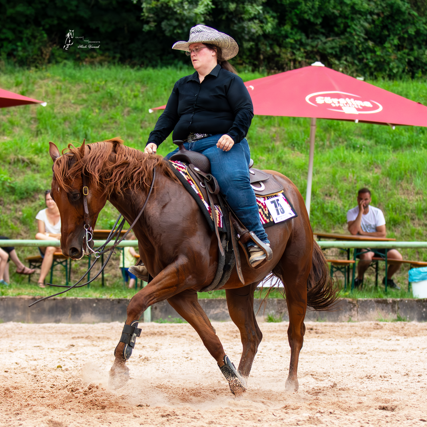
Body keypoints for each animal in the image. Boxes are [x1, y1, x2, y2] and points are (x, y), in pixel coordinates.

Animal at [48, 137, 337, 394]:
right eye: (53, 195)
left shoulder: (183, 272)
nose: (70, 248)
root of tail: (292, 190)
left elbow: (136, 302)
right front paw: (235, 382)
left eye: (74, 194)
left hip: (295, 276)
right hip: (240, 289)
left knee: (295, 332)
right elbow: (210, 337)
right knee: (252, 335)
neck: (160, 204)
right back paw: (244, 378)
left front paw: (118, 367)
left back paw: (291, 385)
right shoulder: (180, 291)